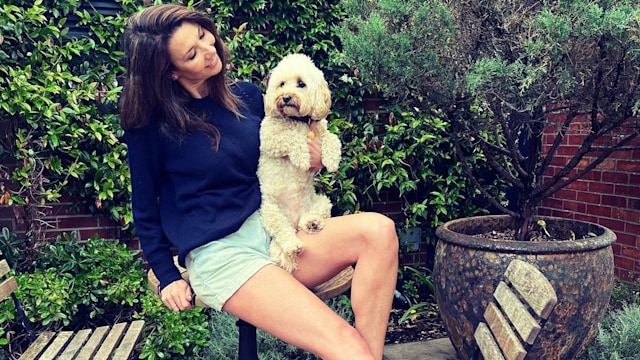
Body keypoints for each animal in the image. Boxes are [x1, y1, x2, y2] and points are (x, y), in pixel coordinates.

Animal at [258, 53, 342, 272]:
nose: (286, 97)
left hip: (322, 202)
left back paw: (312, 223)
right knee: (283, 234)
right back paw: (293, 246)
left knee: (310, 218)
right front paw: (302, 157)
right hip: (271, 213)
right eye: (281, 84)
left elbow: (332, 138)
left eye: (301, 84)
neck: (298, 120)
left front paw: (332, 159)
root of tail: (294, 222)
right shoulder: (268, 138)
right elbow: (291, 137)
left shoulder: (322, 131)